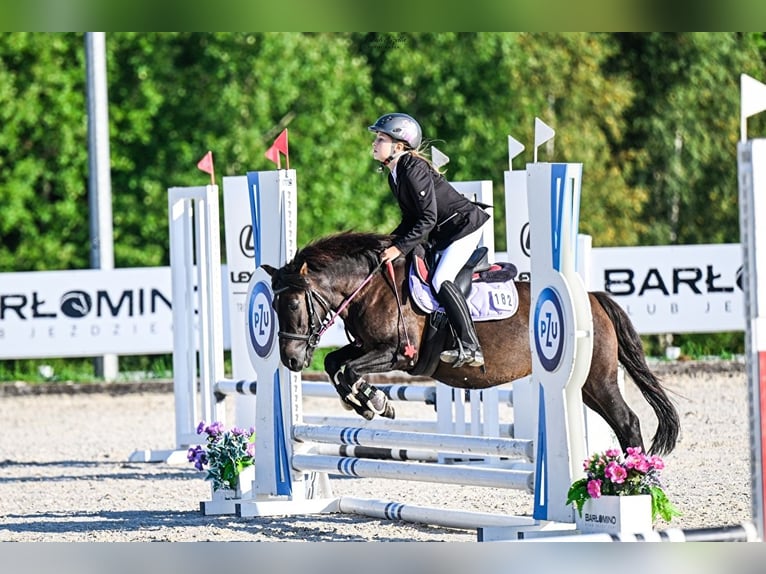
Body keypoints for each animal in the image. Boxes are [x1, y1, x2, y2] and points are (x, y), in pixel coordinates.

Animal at [266, 232, 684, 456]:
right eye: (271, 306)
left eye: (293, 304)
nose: (291, 360)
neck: (371, 287)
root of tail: (593, 298)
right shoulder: (368, 347)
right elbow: (336, 364)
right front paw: (365, 403)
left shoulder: (397, 354)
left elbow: (349, 369)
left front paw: (376, 402)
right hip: (583, 386)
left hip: (598, 379)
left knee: (628, 421)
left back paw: (636, 484)